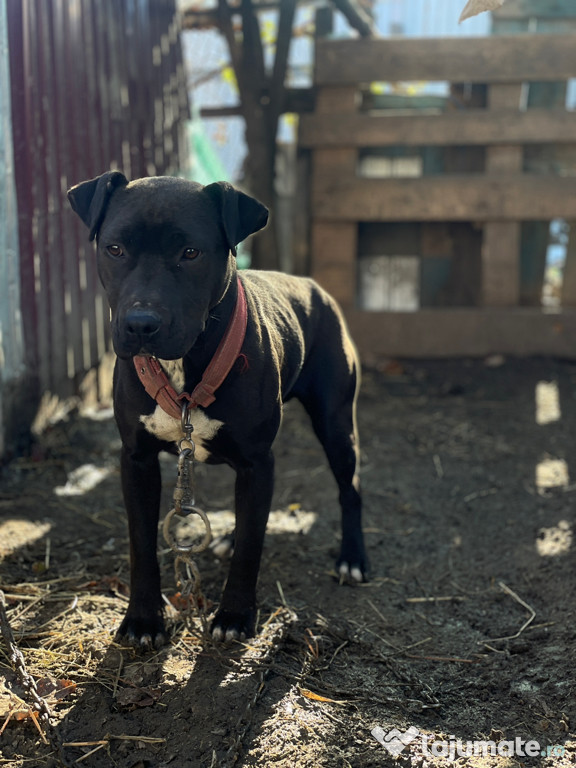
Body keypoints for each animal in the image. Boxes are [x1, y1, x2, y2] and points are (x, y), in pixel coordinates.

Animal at [66, 171, 364, 644]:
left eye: (190, 253)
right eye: (114, 248)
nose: (140, 324)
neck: (184, 367)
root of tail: (311, 285)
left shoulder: (258, 462)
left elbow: (251, 550)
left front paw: (235, 615)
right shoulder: (137, 460)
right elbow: (141, 544)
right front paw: (143, 619)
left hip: (336, 425)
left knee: (350, 489)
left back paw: (353, 558)